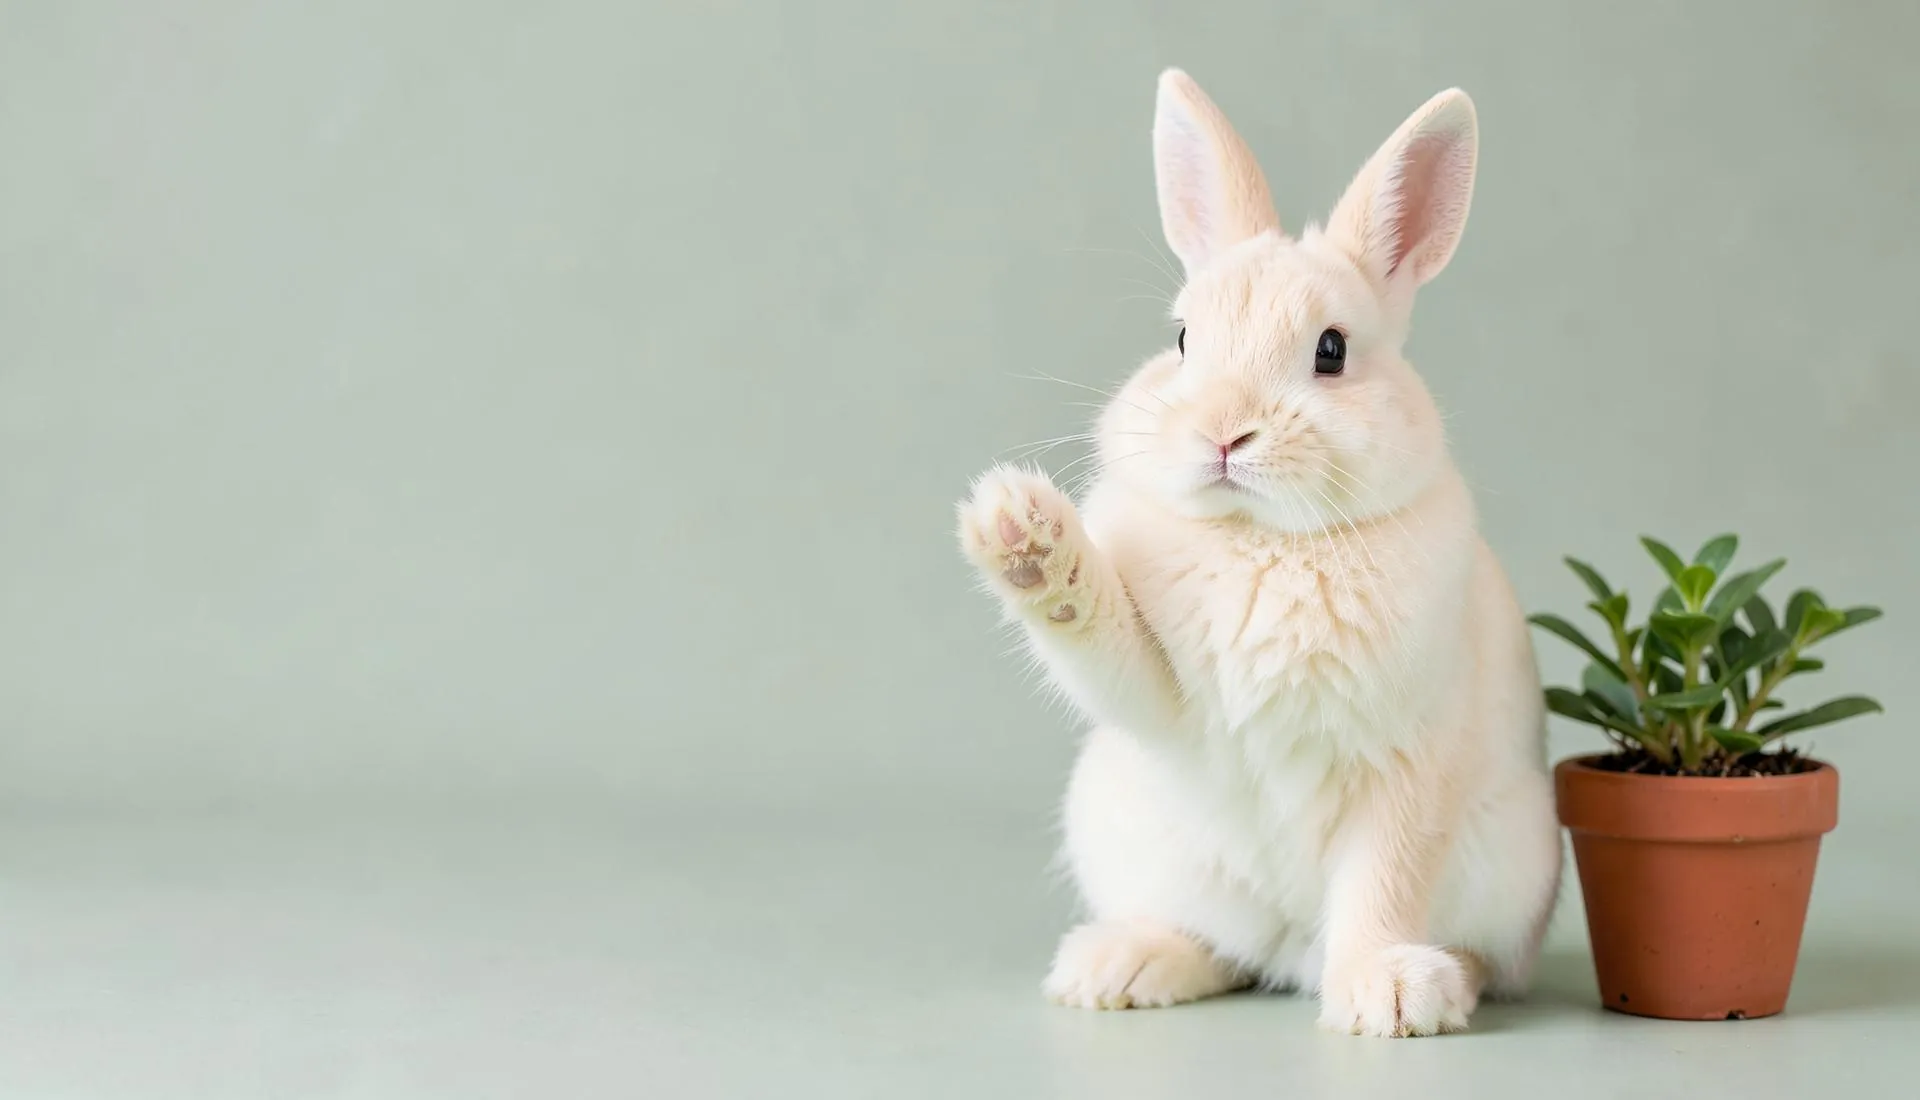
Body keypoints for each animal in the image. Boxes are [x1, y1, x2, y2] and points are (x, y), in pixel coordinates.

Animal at [955, 70, 1561, 1038]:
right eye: (1181, 341)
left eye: (1332, 350)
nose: (1223, 434)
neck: (1264, 541)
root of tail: (1289, 949)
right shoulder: (1163, 696)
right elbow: (1101, 640)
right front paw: (1021, 532)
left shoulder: (1408, 763)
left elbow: (1386, 879)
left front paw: (1385, 997)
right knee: (1223, 950)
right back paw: (1120, 966)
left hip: (1517, 859)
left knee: (1459, 950)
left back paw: (1423, 983)